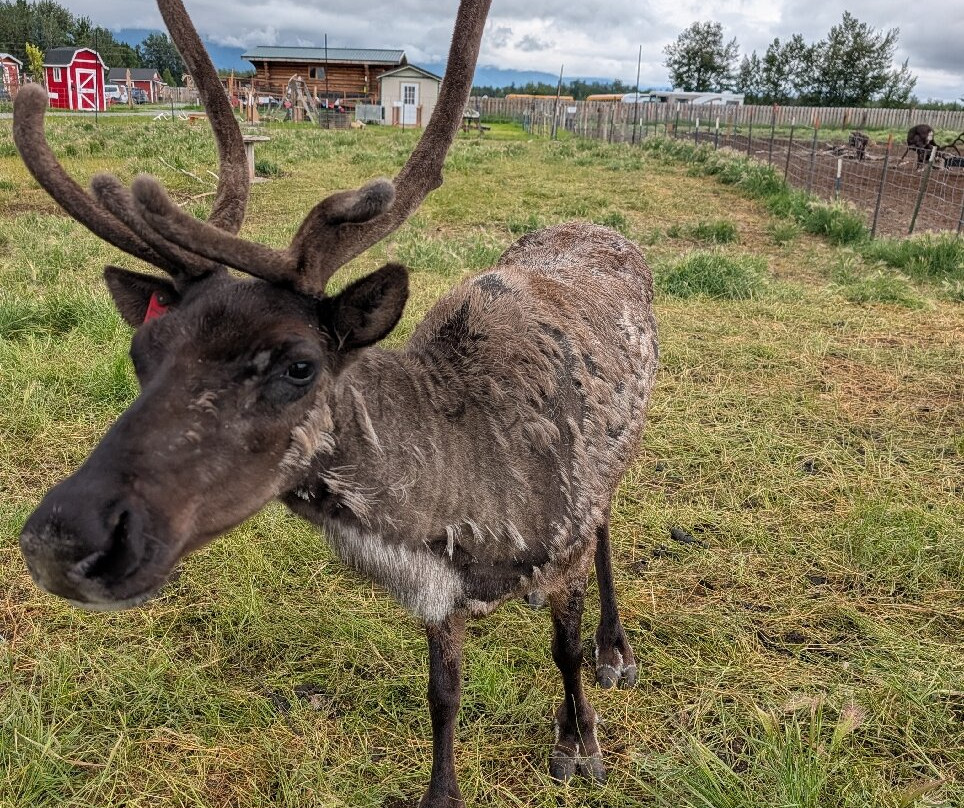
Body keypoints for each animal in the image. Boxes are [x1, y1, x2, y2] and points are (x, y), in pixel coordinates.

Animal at [15, 1, 658, 804]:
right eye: (142, 353)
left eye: (300, 364)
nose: (63, 538)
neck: (459, 501)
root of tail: (605, 231)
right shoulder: (438, 594)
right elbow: (442, 695)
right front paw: (441, 790)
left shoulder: (562, 538)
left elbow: (563, 652)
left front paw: (580, 742)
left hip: (619, 457)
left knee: (608, 535)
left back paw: (616, 647)